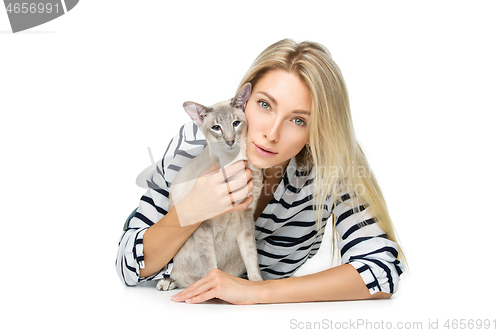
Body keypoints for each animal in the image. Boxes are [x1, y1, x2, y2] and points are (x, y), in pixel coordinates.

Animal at [157, 83, 266, 290]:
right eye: (216, 128)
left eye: (236, 123)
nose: (230, 141)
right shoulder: (203, 225)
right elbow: (210, 264)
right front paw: (214, 289)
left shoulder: (246, 218)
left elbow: (251, 256)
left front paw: (257, 284)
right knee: (179, 273)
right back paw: (168, 282)